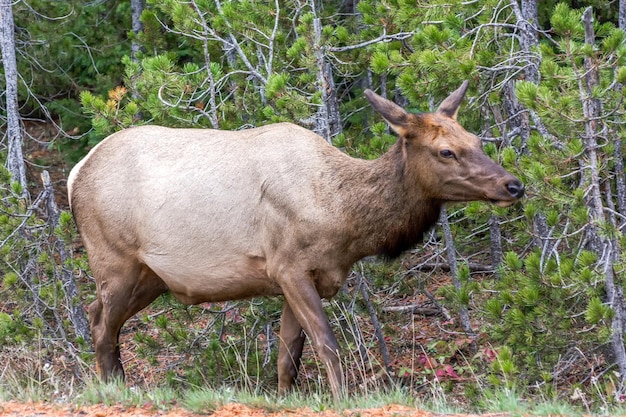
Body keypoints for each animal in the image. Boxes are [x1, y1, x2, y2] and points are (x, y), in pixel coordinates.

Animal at [67, 81, 520, 396]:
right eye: (446, 151)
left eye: (477, 140)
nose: (514, 184)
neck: (344, 221)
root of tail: (75, 173)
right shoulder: (288, 266)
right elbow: (327, 344)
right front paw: (342, 399)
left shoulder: (300, 277)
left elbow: (289, 355)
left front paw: (287, 397)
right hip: (114, 259)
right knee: (102, 323)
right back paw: (113, 388)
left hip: (152, 276)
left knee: (98, 316)